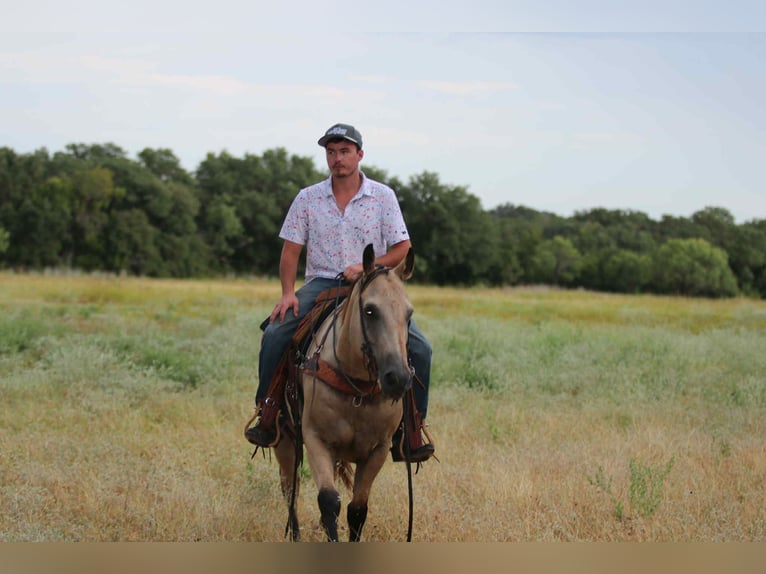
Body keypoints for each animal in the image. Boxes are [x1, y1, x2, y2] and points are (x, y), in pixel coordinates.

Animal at [273, 243, 416, 542]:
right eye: (370, 311)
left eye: (409, 315)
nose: (397, 378)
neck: (356, 388)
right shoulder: (315, 438)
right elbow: (328, 500)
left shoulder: (378, 449)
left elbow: (357, 509)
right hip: (285, 440)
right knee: (290, 490)